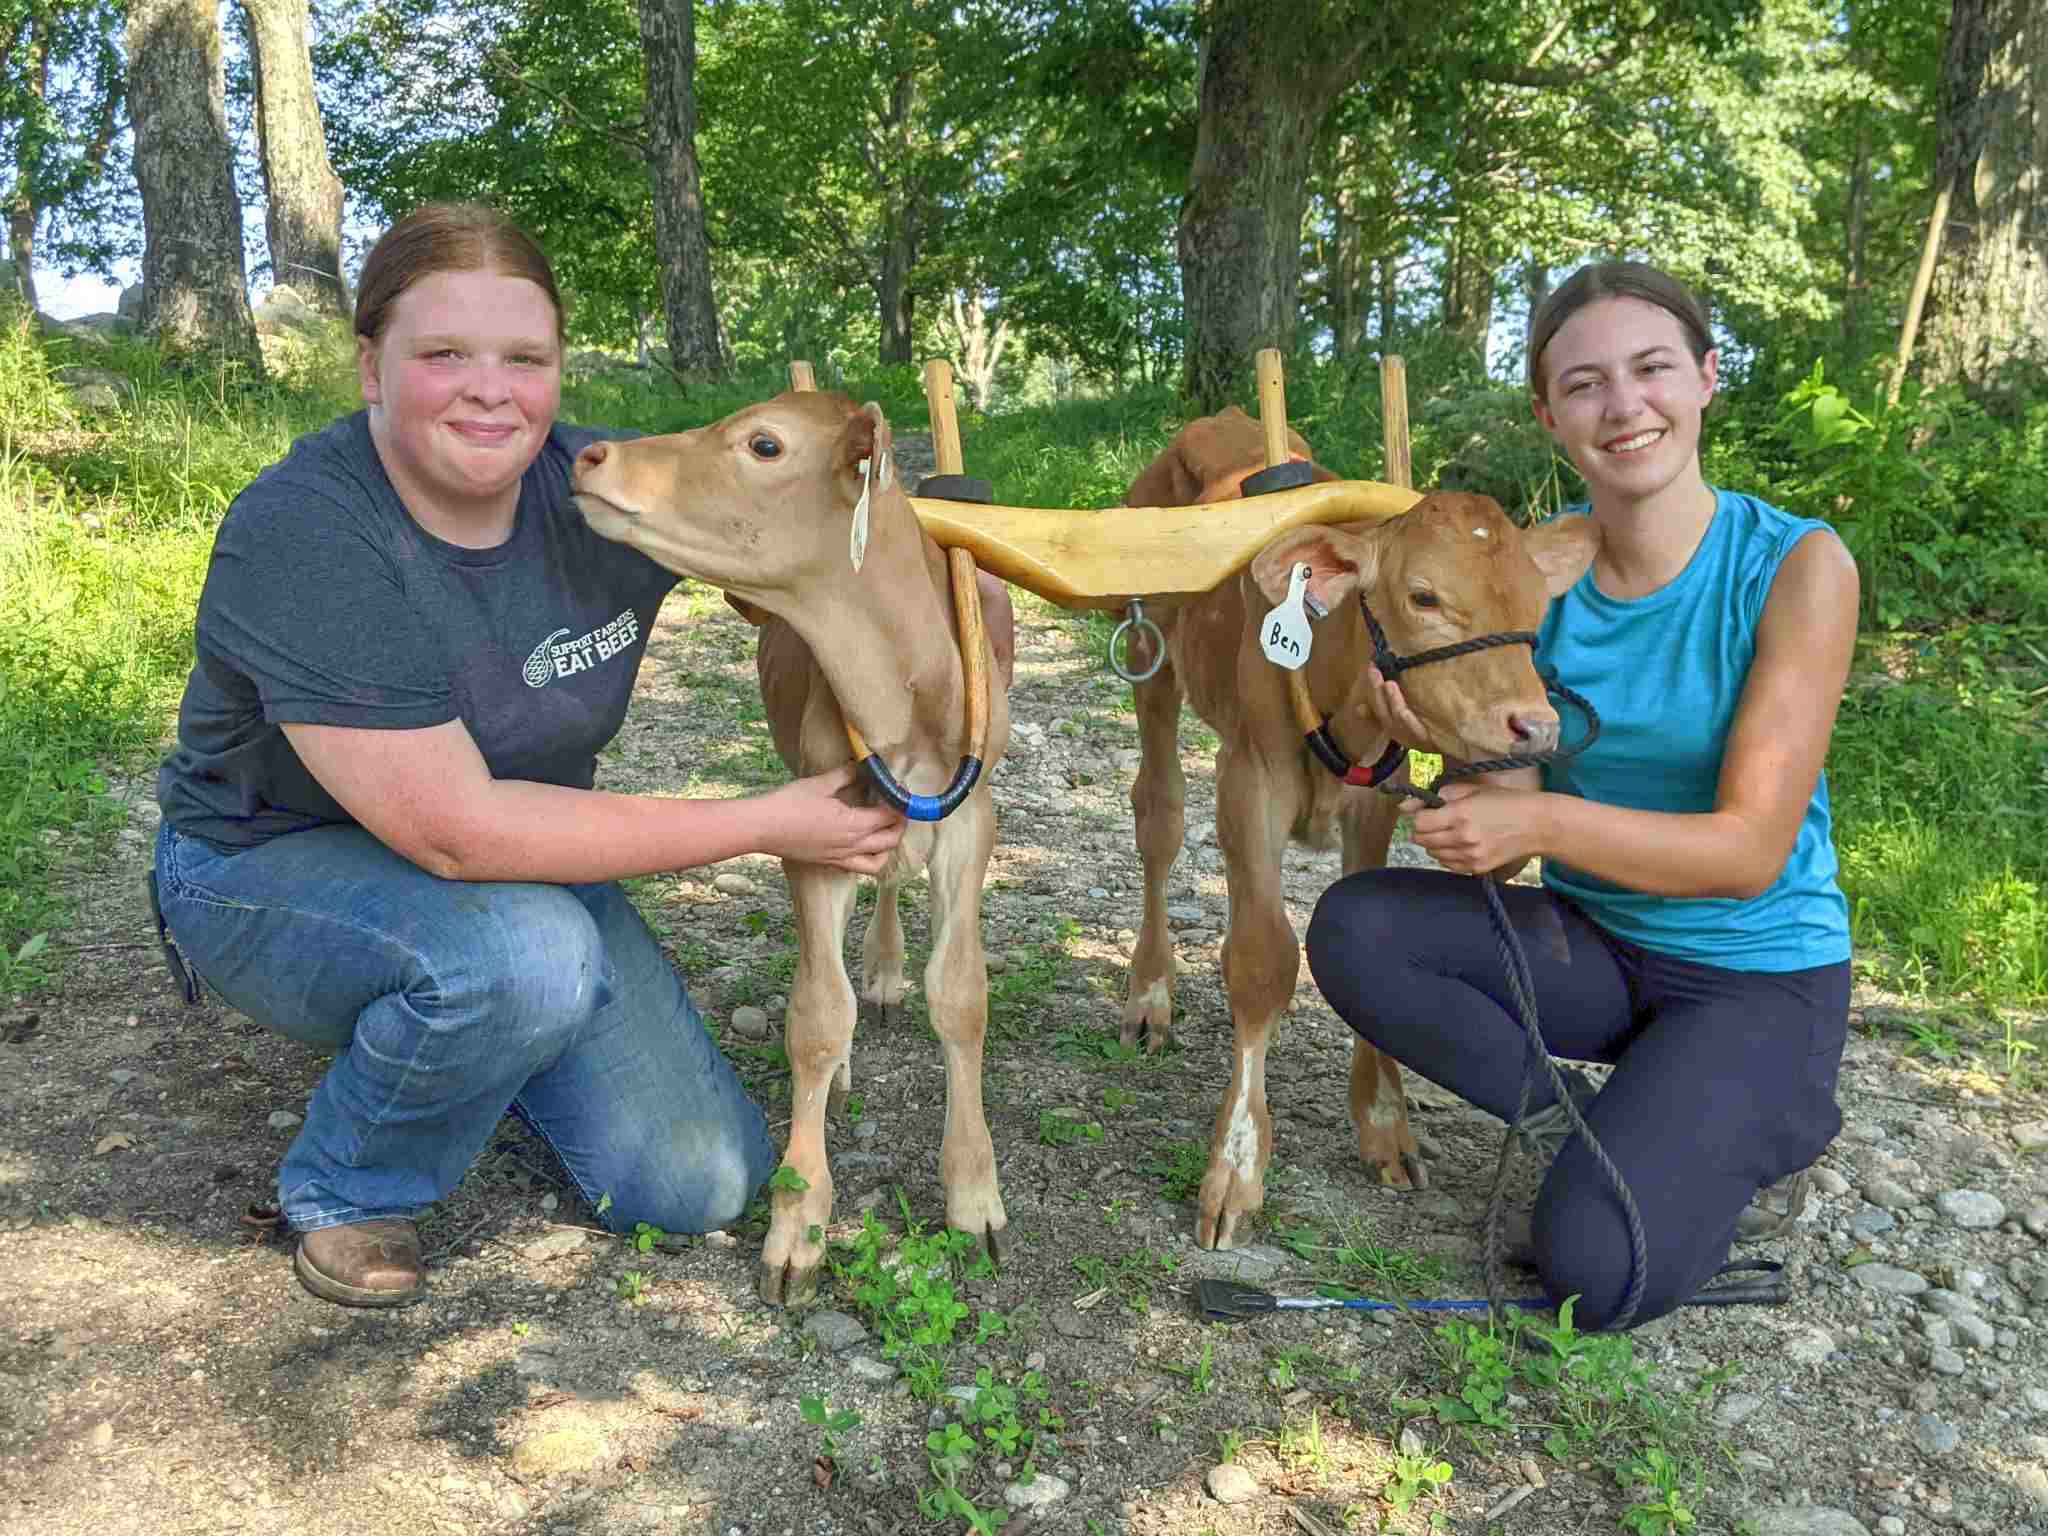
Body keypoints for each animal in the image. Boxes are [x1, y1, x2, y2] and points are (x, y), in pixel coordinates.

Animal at [571, 391, 1014, 1304]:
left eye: (765, 445)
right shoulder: (815, 836)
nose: (592, 456)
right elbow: (814, 1015)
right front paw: (797, 1224)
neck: (899, 699)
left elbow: (960, 996)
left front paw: (974, 1193)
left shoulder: (972, 822)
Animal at [1115, 407, 1600, 1248]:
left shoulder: (1376, 798)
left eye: (1538, 609)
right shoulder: (1249, 781)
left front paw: (1385, 1122)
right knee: (1160, 817)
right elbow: (1264, 958)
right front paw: (1236, 1167)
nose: (1535, 727)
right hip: (1153, 658)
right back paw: (1150, 994)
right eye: (1424, 596)